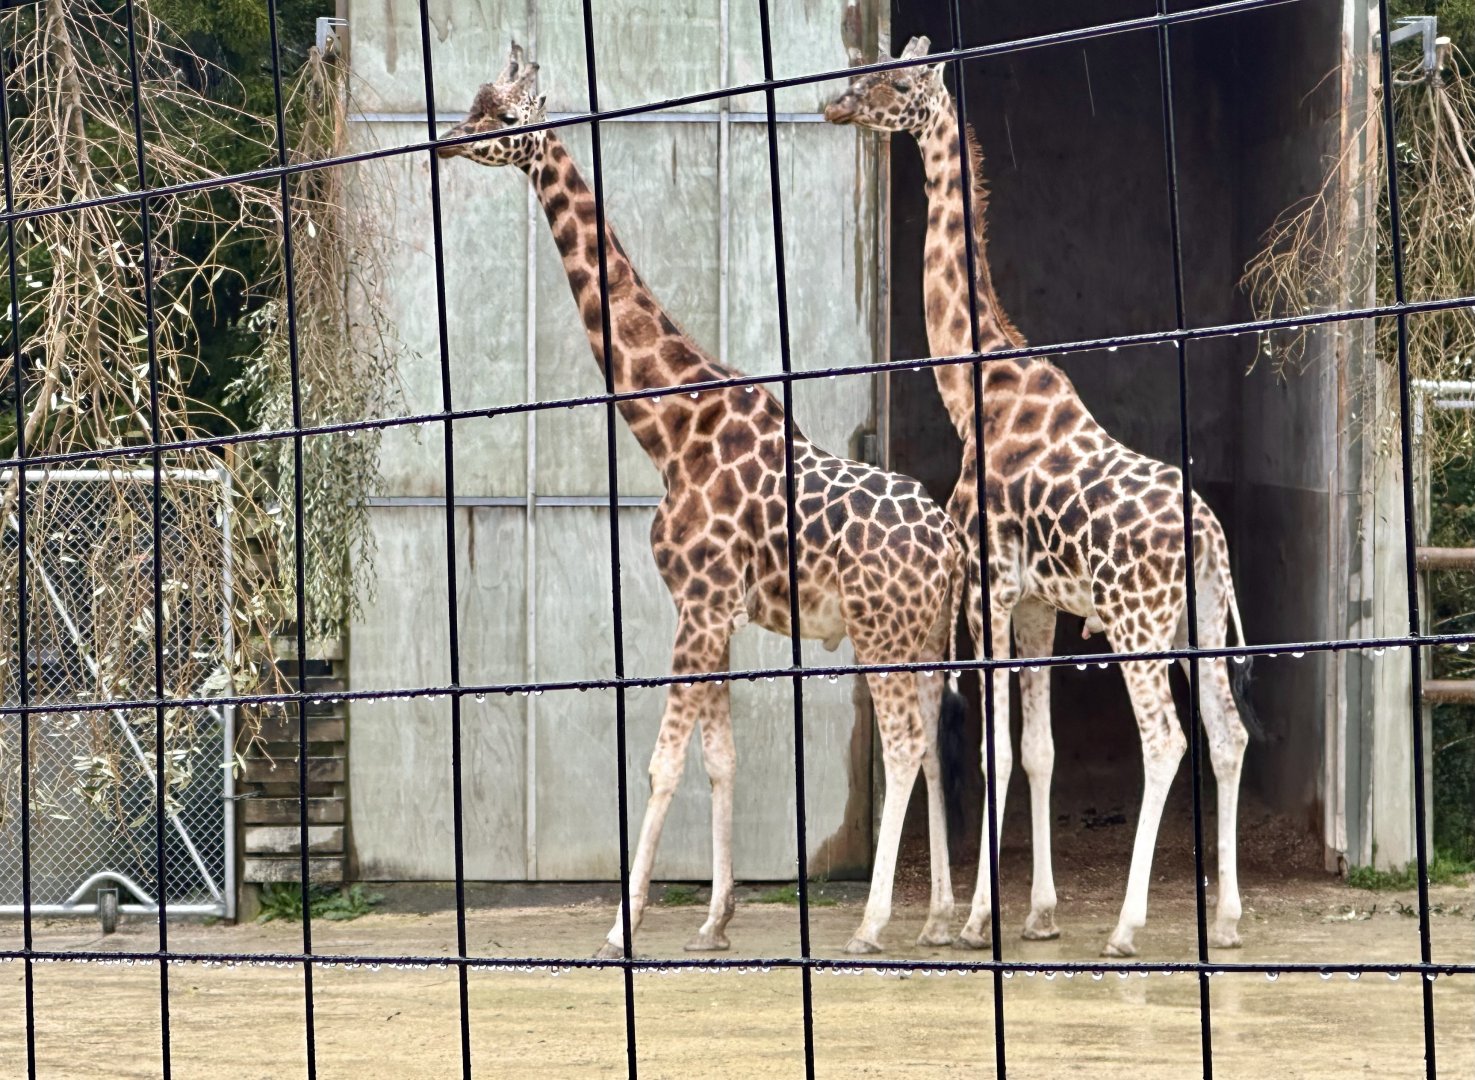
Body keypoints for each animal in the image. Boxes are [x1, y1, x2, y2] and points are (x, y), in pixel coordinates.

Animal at [439, 44, 967, 958]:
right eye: (474, 104)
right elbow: (721, 759)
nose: (445, 141)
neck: (670, 427)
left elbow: (663, 762)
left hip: (883, 632)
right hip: (924, 635)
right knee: (931, 746)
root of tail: (950, 548)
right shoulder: (715, 611)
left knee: (903, 747)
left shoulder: (698, 603)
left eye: (504, 118)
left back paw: (871, 925)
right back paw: (934, 917)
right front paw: (715, 920)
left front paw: (622, 927)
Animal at [824, 25, 1253, 958]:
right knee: (1226, 732)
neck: (973, 389)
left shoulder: (986, 588)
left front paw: (978, 916)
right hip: (1198, 616)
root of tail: (1209, 536)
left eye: (894, 81)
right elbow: (1037, 750)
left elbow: (991, 751)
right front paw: (1036, 912)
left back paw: (1126, 926)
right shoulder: (1035, 604)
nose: (833, 102)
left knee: (1166, 741)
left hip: (1135, 621)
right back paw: (1232, 918)